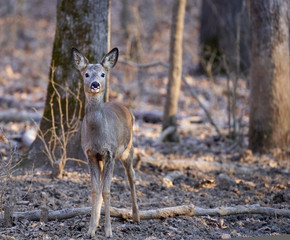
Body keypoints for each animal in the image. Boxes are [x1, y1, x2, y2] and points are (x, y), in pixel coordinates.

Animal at [72, 46, 140, 236]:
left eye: (103, 74)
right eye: (86, 74)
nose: (95, 84)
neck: (98, 135)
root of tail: (126, 108)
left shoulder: (110, 154)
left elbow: (108, 191)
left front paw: (108, 231)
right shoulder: (90, 154)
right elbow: (96, 190)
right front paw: (90, 230)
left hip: (127, 149)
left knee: (132, 176)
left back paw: (136, 216)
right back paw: (96, 222)